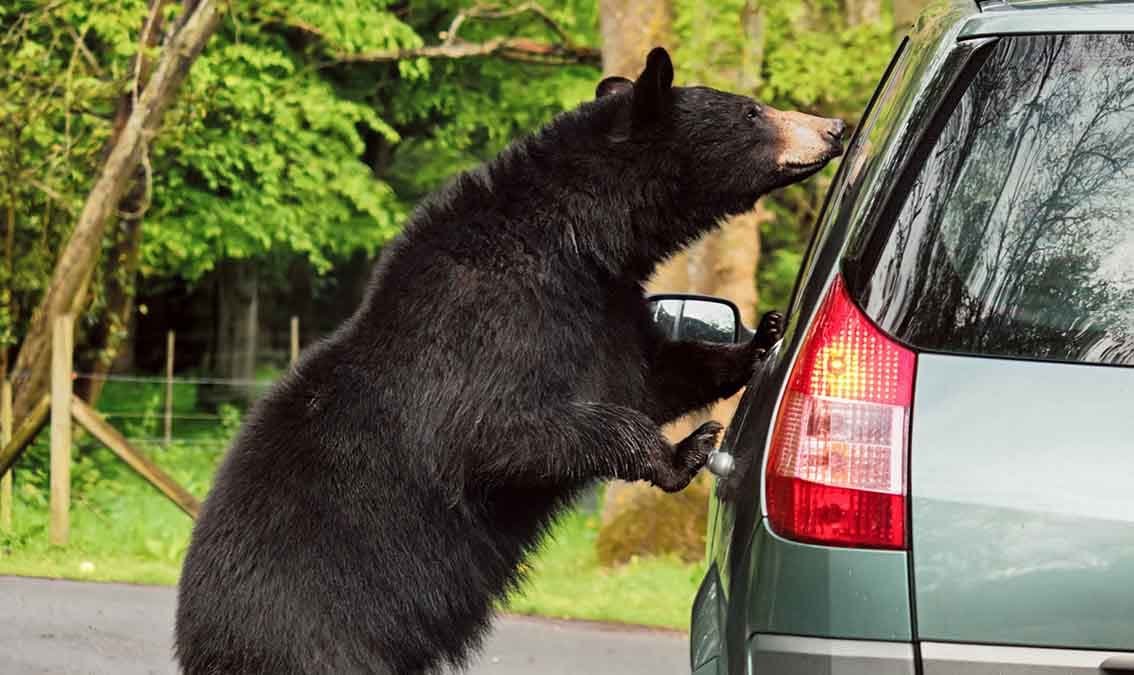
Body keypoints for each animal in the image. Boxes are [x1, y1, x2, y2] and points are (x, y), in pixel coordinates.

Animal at [174, 46, 844, 675]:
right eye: (752, 111)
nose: (833, 126)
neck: (575, 242)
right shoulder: (490, 323)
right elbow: (497, 432)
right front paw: (686, 450)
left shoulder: (601, 308)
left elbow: (649, 375)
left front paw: (760, 339)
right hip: (315, 633)